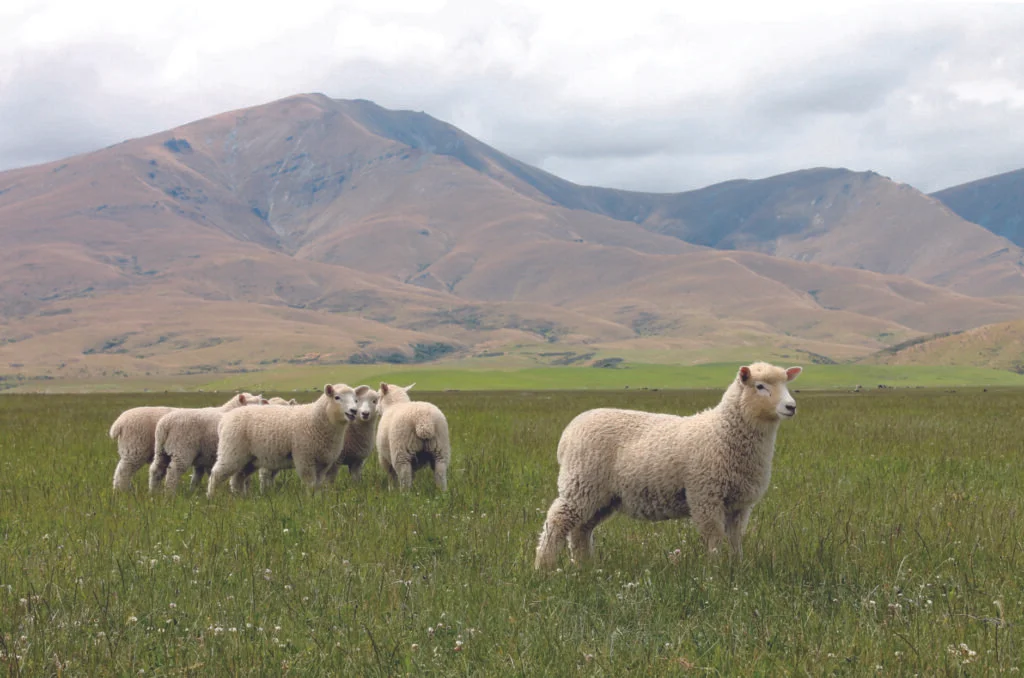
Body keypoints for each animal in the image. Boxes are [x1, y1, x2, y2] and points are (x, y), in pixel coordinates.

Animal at [108, 393, 257, 492]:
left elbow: (201, 474)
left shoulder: (205, 456)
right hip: (137, 448)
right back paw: (122, 491)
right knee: (124, 470)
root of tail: (119, 423)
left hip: (156, 450)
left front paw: (195, 491)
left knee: (153, 470)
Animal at [206, 383, 359, 497]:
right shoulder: (304, 457)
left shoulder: (323, 461)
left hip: (249, 459)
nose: (354, 411)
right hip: (232, 451)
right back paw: (211, 497)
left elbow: (318, 484)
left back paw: (240, 498)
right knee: (217, 473)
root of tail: (225, 418)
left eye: (356, 399)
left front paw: (318, 499)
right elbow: (310, 483)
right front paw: (310, 501)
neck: (317, 419)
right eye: (337, 397)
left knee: (238, 478)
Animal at [534, 362, 802, 570]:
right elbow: (714, 537)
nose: (791, 406)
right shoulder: (705, 495)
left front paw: (736, 566)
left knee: (581, 529)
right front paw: (716, 571)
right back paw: (544, 566)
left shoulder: (739, 503)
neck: (721, 432)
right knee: (557, 520)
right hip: (582, 482)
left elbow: (735, 538)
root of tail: (568, 433)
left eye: (786, 384)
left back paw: (585, 566)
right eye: (760, 386)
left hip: (601, 495)